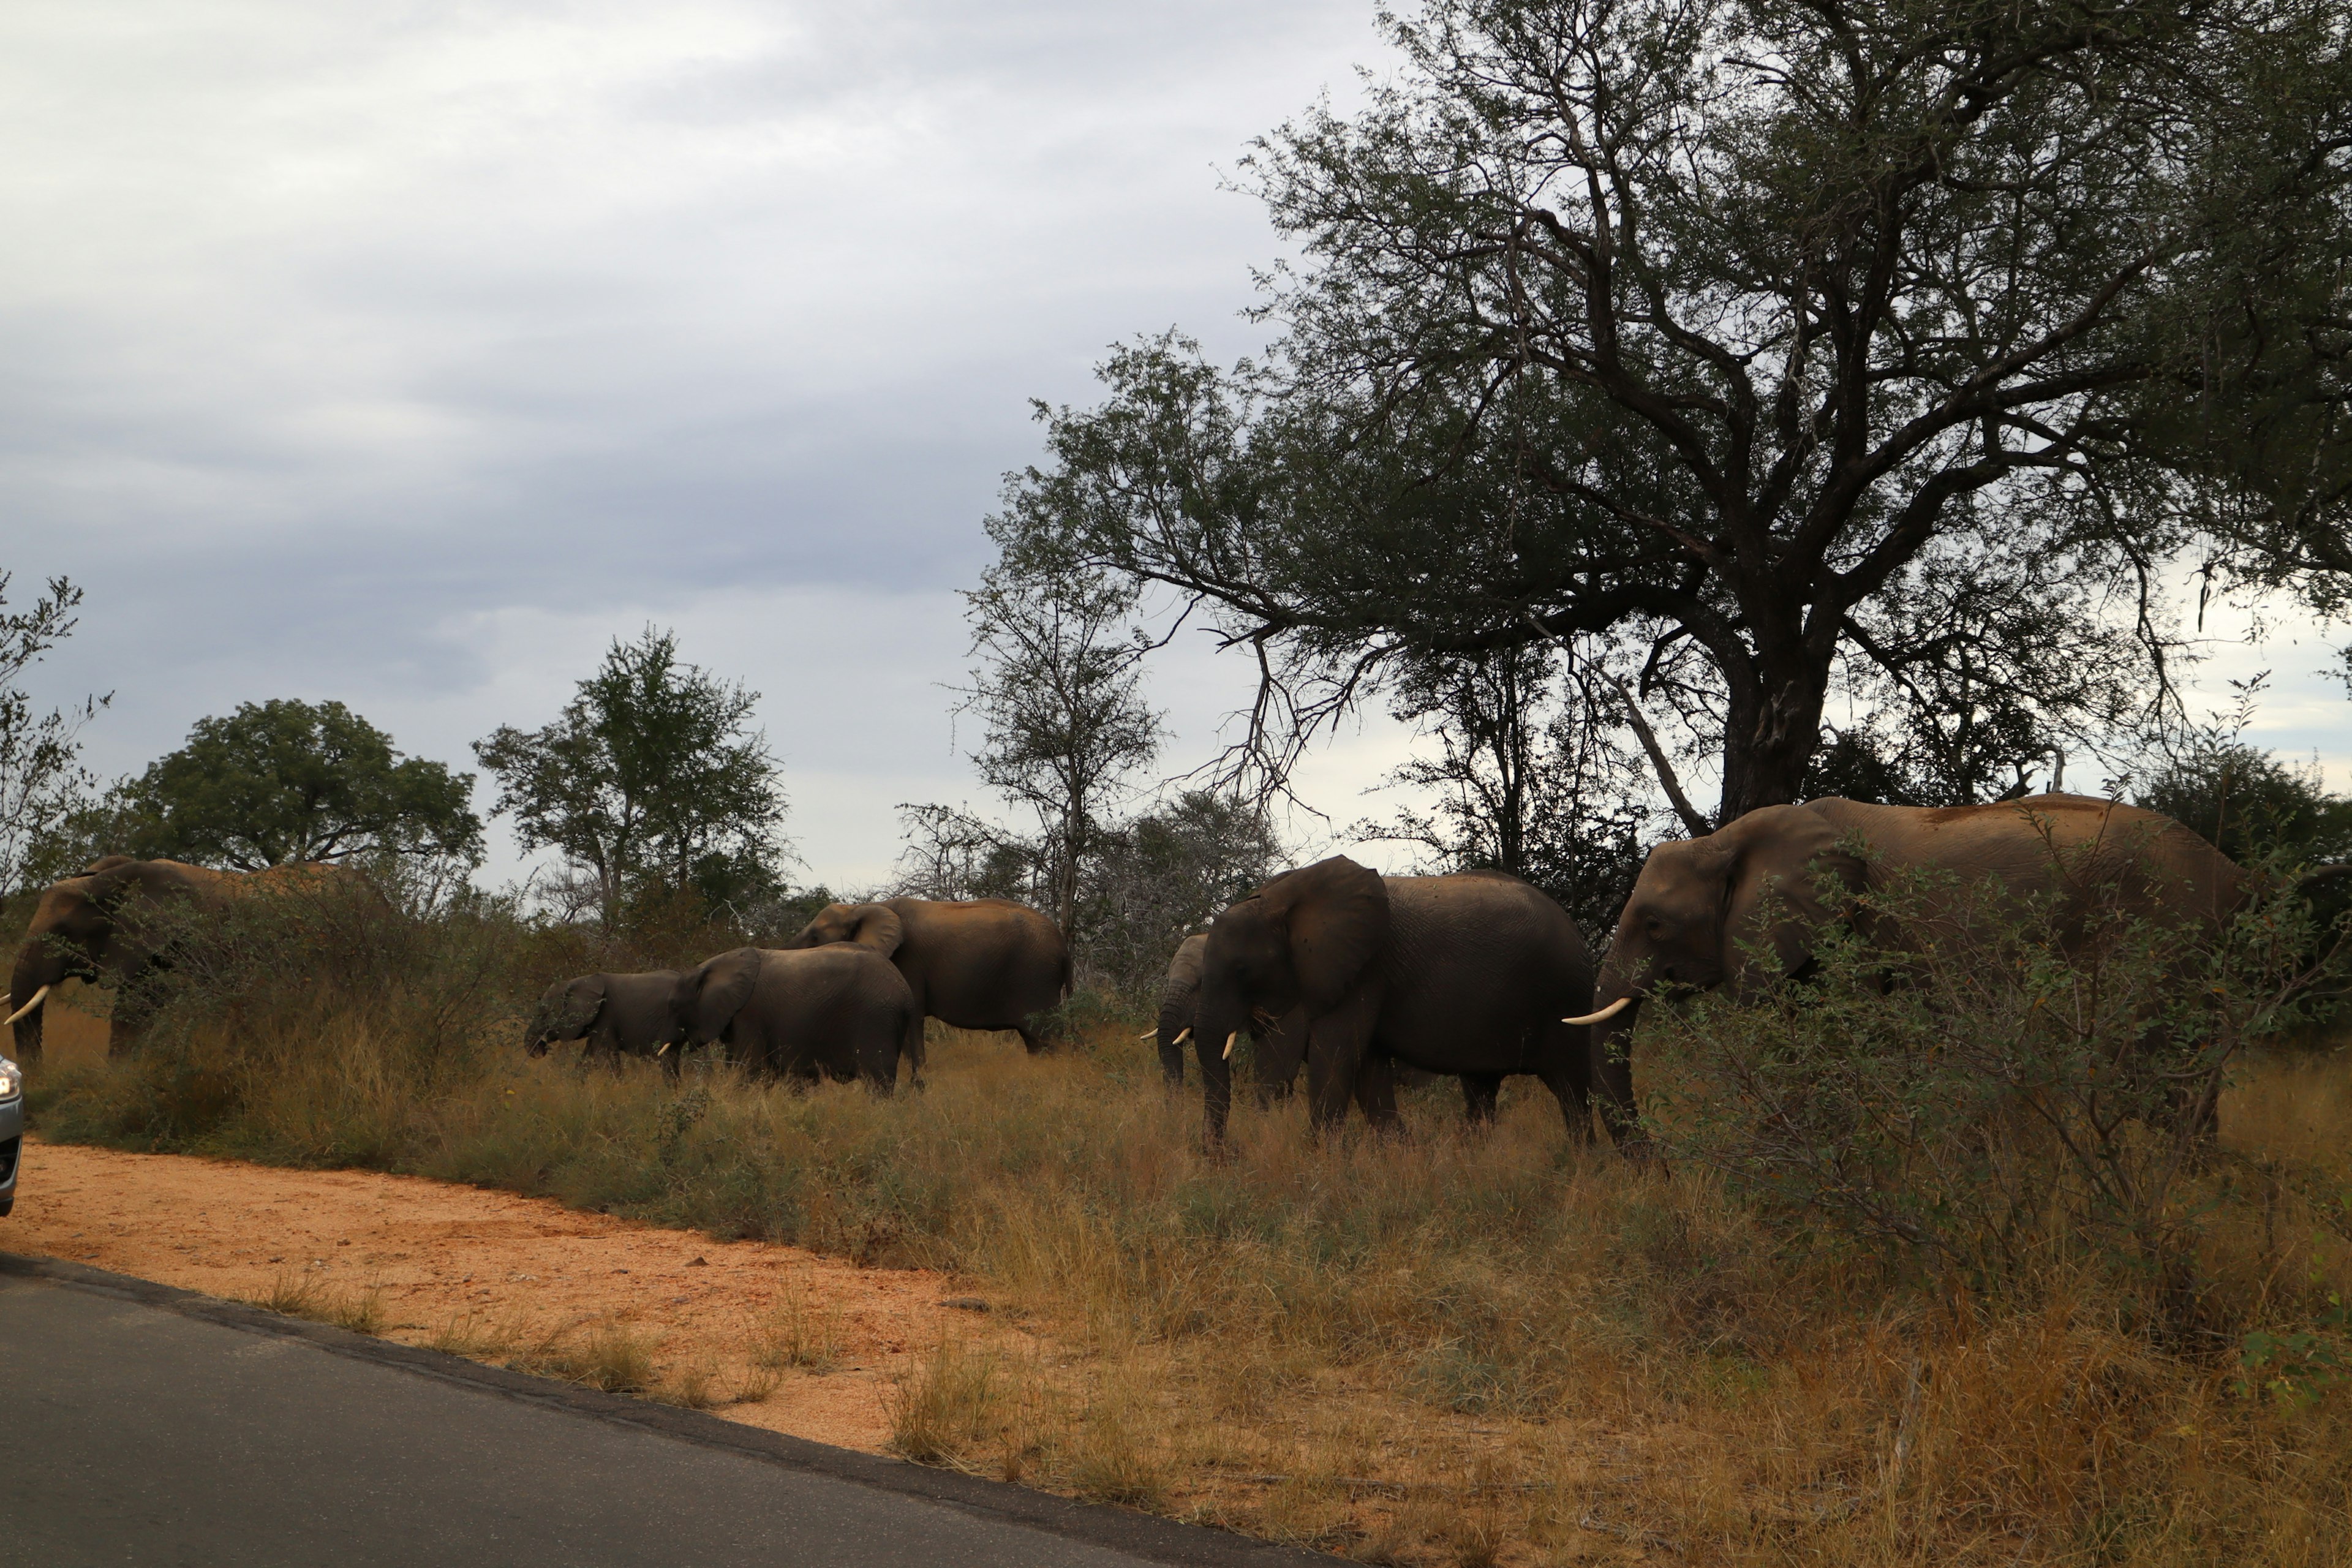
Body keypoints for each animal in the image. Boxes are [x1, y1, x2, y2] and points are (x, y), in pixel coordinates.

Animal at [794, 893, 1077, 1081]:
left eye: (815, 937)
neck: (859, 909)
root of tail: (1064, 948)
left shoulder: (907, 961)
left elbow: (914, 1020)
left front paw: (918, 1087)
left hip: (1036, 977)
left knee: (1048, 1038)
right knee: (1035, 1041)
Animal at [1194, 860, 1599, 1142]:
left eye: (1242, 969)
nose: (1224, 1153)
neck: (1281, 900)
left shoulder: (1364, 969)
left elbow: (1336, 1056)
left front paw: (1319, 1159)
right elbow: (1368, 1068)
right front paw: (1404, 1153)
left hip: (1566, 996)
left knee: (1571, 1089)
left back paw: (1581, 1160)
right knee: (1482, 1091)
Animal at [1571, 799, 2248, 1152]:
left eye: (1655, 924)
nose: (1660, 1167)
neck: (1729, 839)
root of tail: (2232, 871)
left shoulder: (1853, 928)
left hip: (2163, 931)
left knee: (2148, 1072)